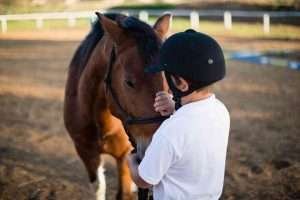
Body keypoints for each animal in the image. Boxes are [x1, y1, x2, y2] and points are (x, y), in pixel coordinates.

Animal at [63, 12, 171, 200]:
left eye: (167, 79)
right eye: (128, 82)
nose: (158, 150)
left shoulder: (124, 157)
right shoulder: (86, 153)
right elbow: (98, 188)